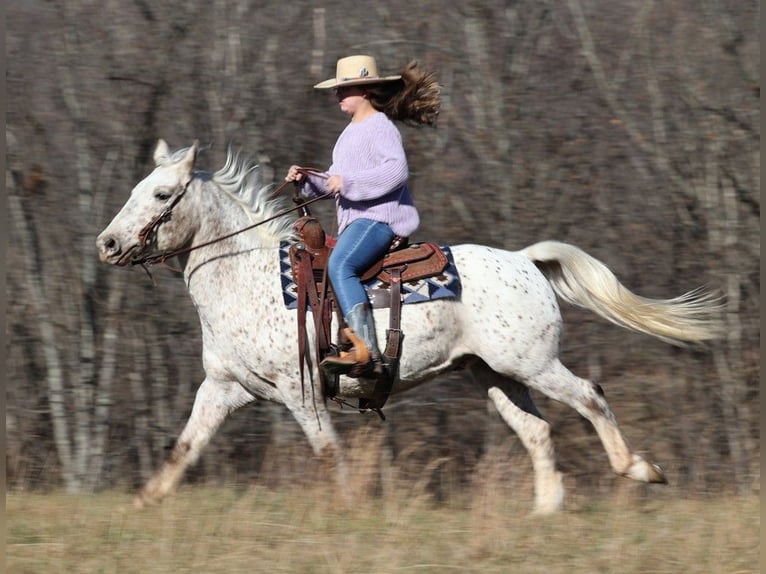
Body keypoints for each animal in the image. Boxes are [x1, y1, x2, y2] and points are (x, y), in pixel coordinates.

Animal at [97, 141, 728, 516]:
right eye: (133, 190)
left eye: (161, 194)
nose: (107, 244)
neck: (245, 277)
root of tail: (526, 260)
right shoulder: (224, 389)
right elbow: (184, 448)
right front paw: (143, 504)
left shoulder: (301, 393)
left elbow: (327, 453)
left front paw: (351, 508)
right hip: (492, 375)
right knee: (536, 431)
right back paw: (545, 511)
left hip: (533, 364)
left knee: (591, 397)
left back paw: (640, 469)